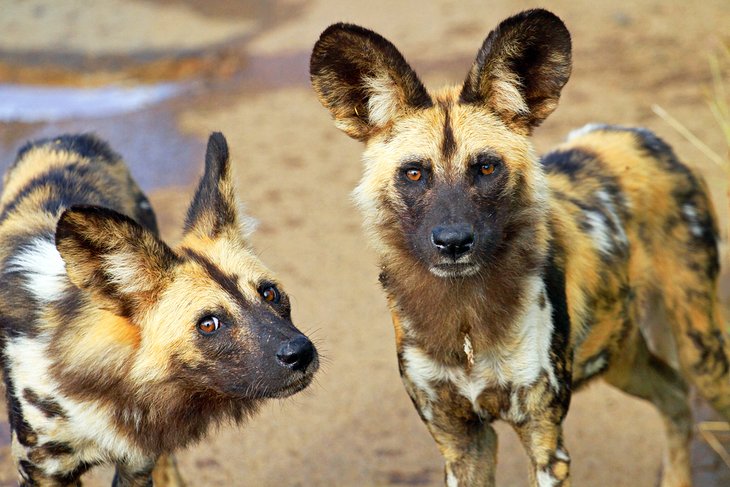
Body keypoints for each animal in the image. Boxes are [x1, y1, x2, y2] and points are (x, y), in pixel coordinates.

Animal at [0, 132, 318, 486]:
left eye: (269, 293)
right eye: (209, 324)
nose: (300, 352)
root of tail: (68, 137)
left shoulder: (137, 463)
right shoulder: (43, 473)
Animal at [308, 7, 728, 487]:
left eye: (487, 168)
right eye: (414, 173)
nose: (453, 242)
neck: (466, 322)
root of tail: (645, 137)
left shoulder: (544, 439)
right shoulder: (461, 441)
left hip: (701, 352)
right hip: (621, 356)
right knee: (674, 395)